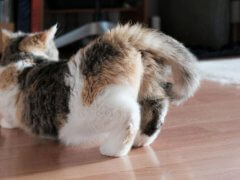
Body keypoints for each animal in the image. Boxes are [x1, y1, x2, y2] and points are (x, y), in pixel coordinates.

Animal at [0, 23, 201, 156]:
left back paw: (114, 150)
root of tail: (119, 38)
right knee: (158, 106)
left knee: (131, 114)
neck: (25, 58)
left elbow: (8, 119)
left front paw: (3, 123)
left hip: (95, 109)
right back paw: (141, 140)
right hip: (149, 85)